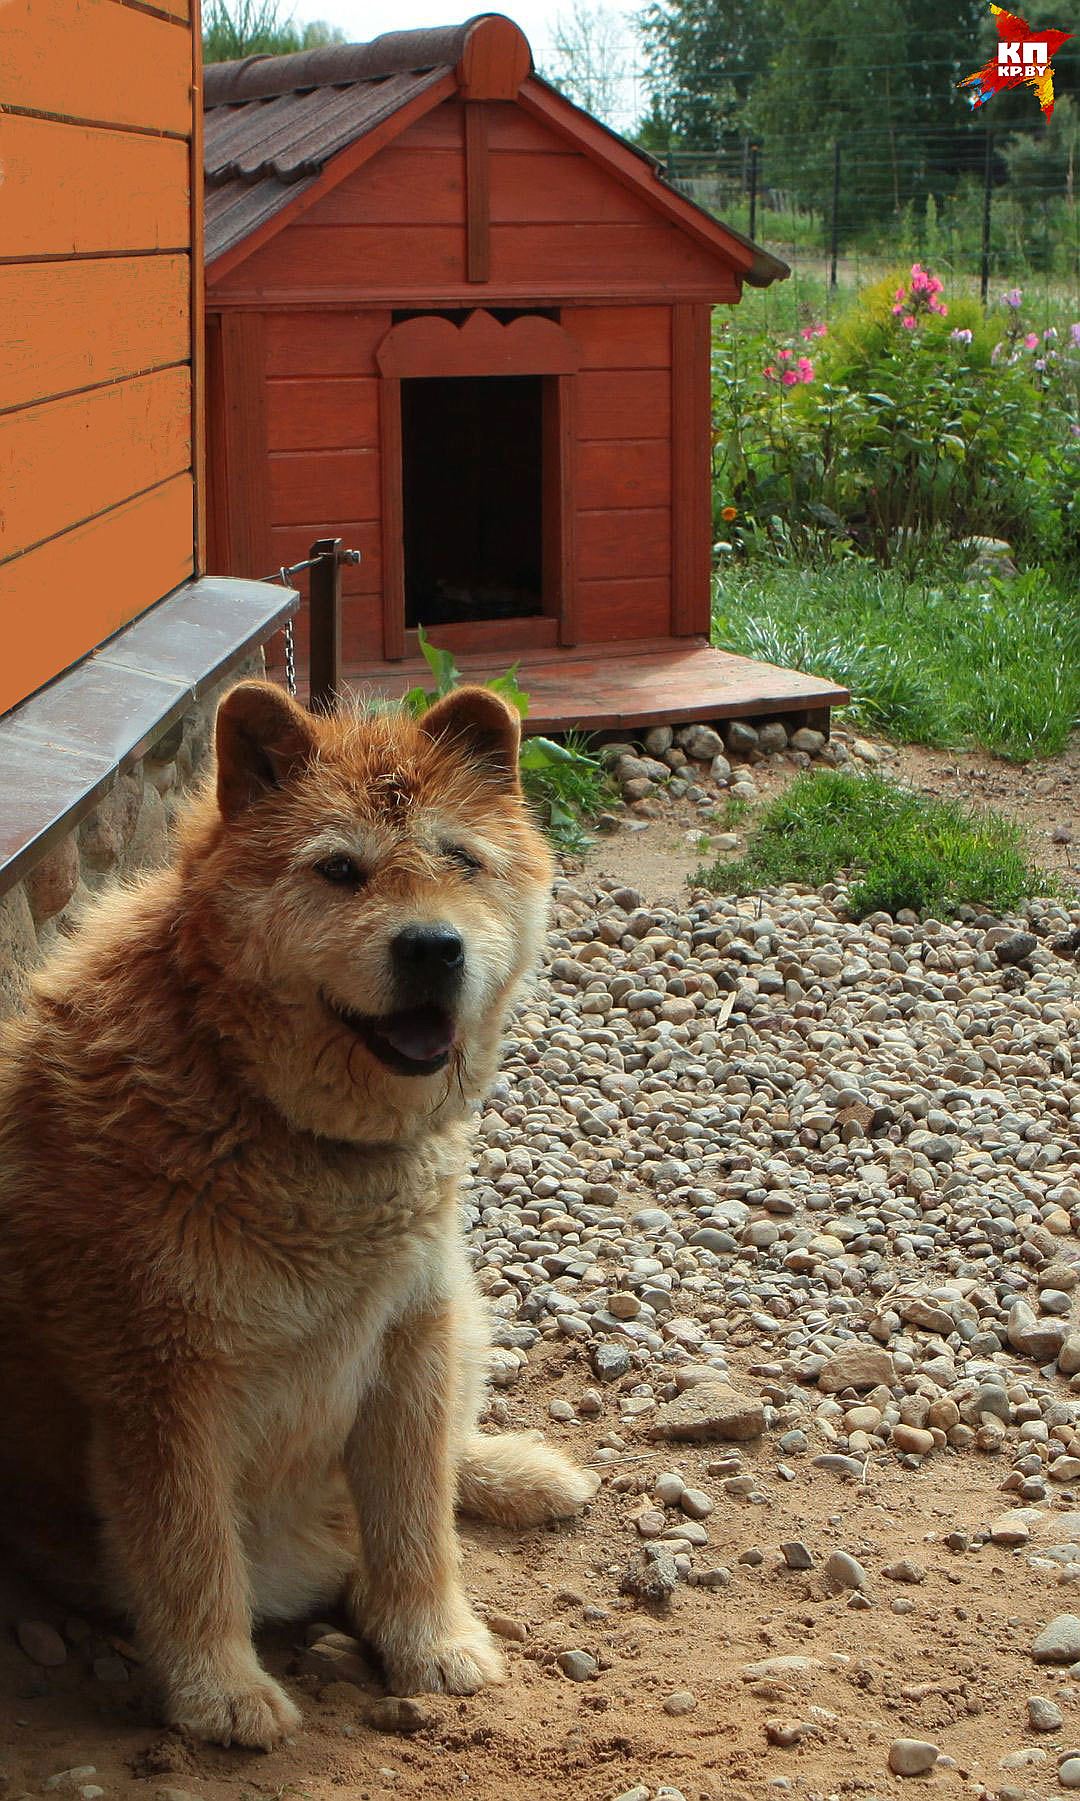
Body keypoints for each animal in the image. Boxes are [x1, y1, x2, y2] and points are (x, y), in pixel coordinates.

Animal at [0, 677, 597, 1743]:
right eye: (339, 870)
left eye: (461, 858)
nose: (433, 946)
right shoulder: (162, 1378)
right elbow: (192, 1552)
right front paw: (220, 1691)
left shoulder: (410, 1329)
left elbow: (416, 1513)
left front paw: (432, 1636)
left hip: (460, 1313)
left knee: (449, 1455)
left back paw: (518, 1473)